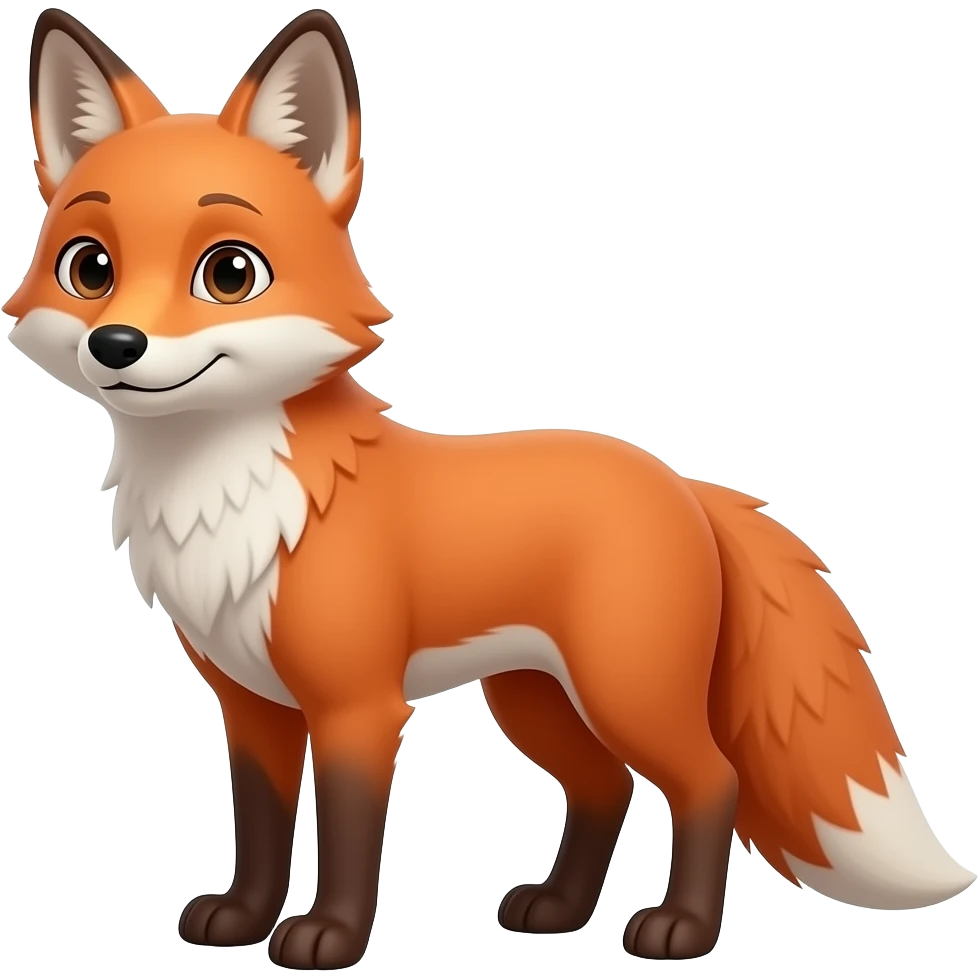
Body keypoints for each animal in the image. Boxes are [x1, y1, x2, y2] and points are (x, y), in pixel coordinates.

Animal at [4, 6, 975, 971]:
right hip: (535, 698)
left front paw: (328, 936)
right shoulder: (252, 706)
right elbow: (261, 827)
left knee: (710, 781)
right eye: (89, 268)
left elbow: (349, 833)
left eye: (229, 273)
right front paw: (242, 918)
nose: (115, 345)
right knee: (603, 786)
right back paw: (556, 909)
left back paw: (681, 929)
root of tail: (681, 480)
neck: (229, 495)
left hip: (626, 690)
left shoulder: (358, 706)